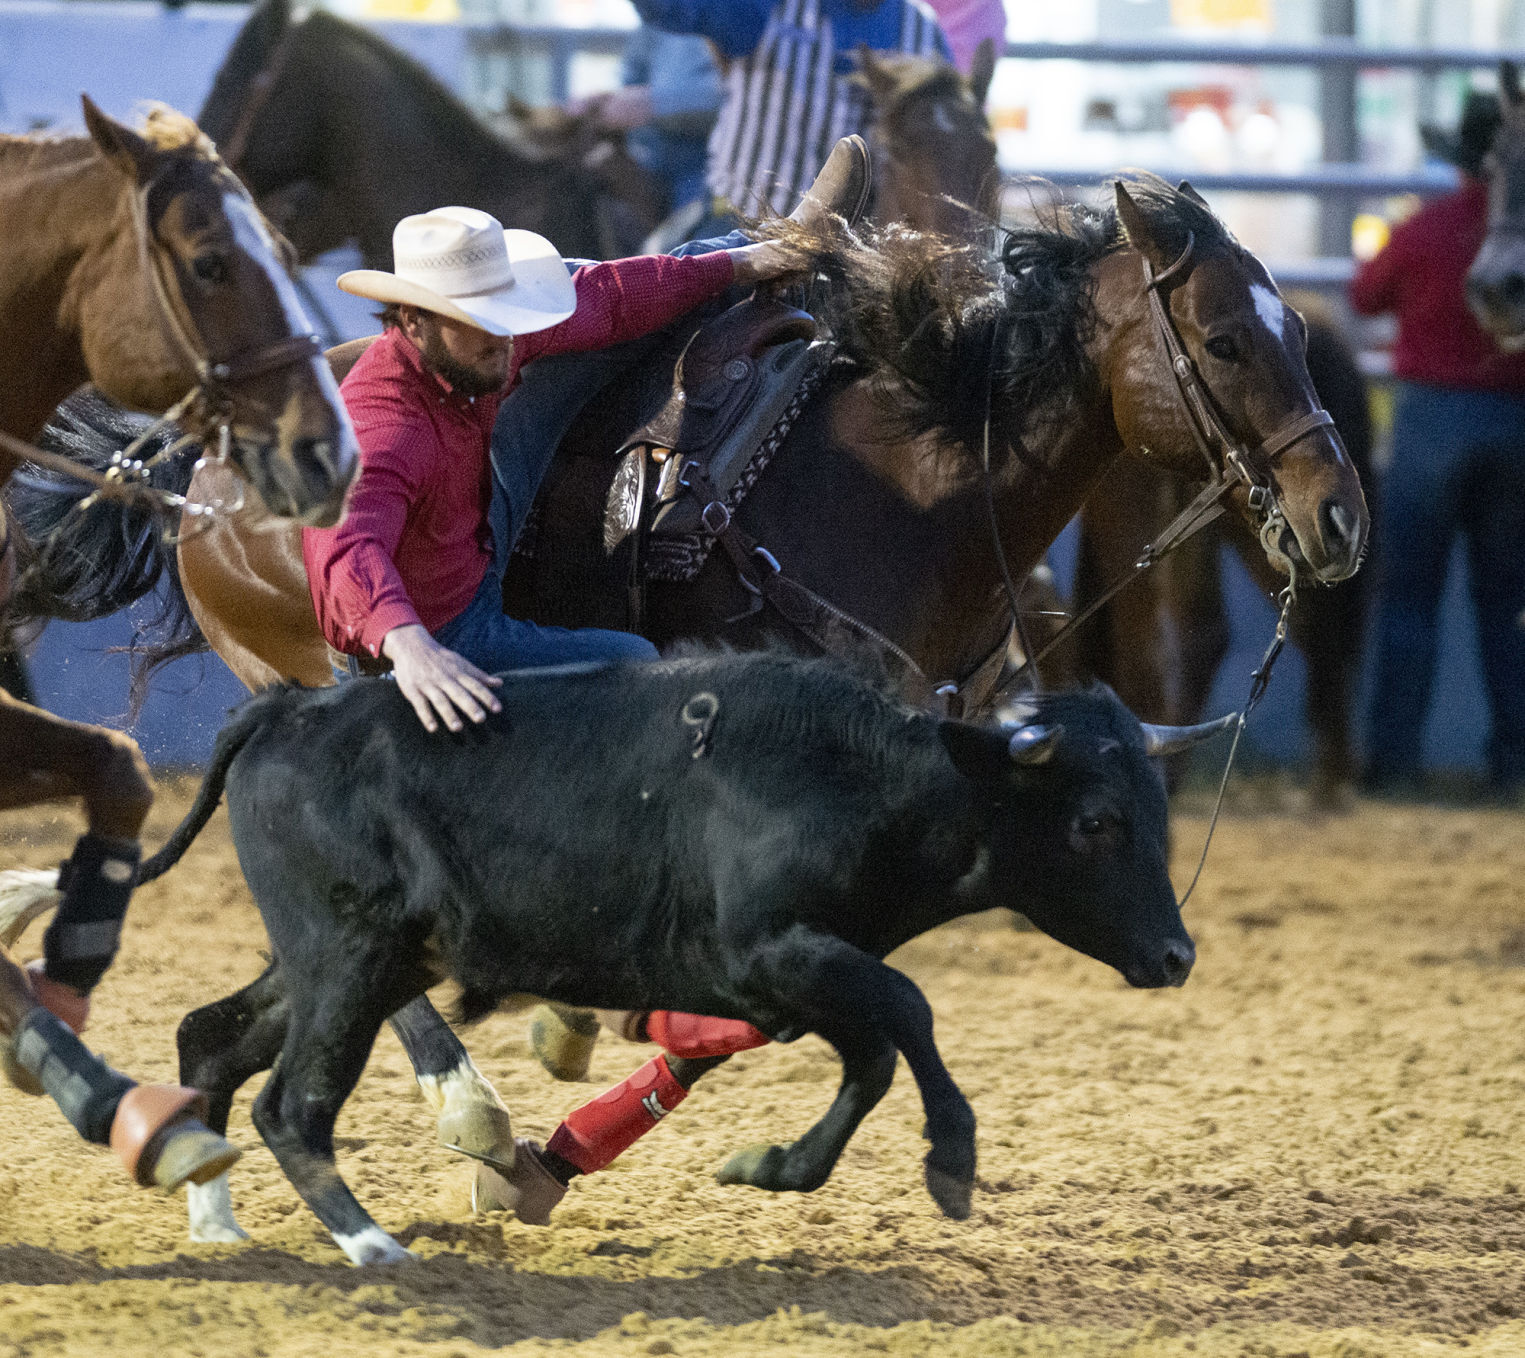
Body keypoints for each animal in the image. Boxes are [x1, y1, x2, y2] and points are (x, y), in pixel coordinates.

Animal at [11, 176, 1372, 1196]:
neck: (912, 493)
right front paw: (563, 1125)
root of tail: (194, 461)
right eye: (1224, 339)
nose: (1337, 517)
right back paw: (473, 1112)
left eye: (1301, 334)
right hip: (316, 679)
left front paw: (601, 1102)